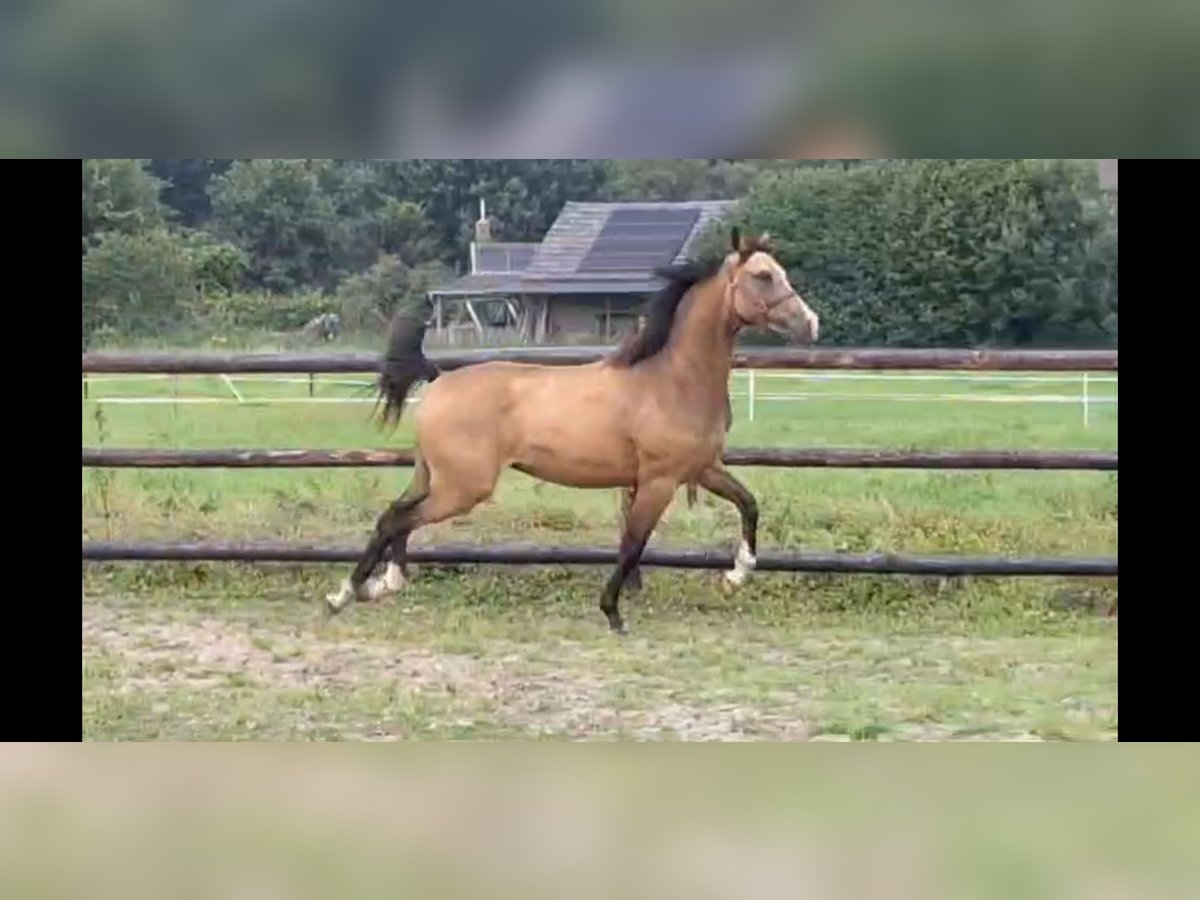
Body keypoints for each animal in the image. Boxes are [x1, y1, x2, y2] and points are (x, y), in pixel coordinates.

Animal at [324, 229, 820, 638]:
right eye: (762, 276)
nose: (811, 323)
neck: (671, 379)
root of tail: (439, 378)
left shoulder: (700, 469)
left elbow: (749, 504)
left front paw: (738, 574)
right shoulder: (658, 480)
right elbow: (632, 543)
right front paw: (613, 614)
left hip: (433, 477)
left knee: (394, 516)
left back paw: (371, 587)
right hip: (463, 487)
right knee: (400, 519)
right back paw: (350, 594)